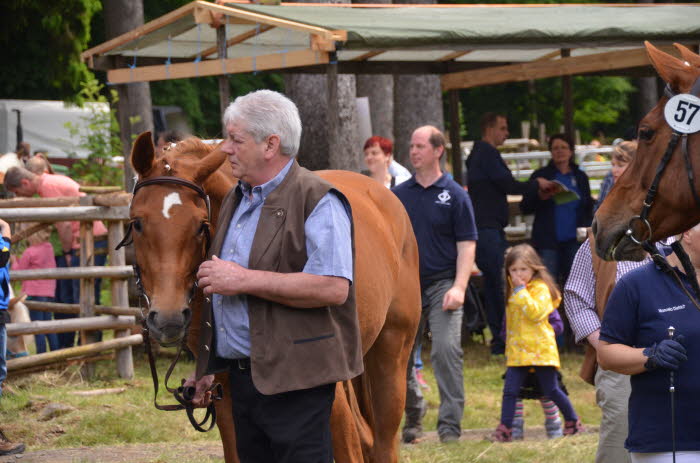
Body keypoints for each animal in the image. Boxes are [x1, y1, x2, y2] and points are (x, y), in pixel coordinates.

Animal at [127, 133, 422, 463]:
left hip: (391, 355)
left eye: (201, 225)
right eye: (137, 222)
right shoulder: (226, 394)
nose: (168, 318)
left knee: (383, 442)